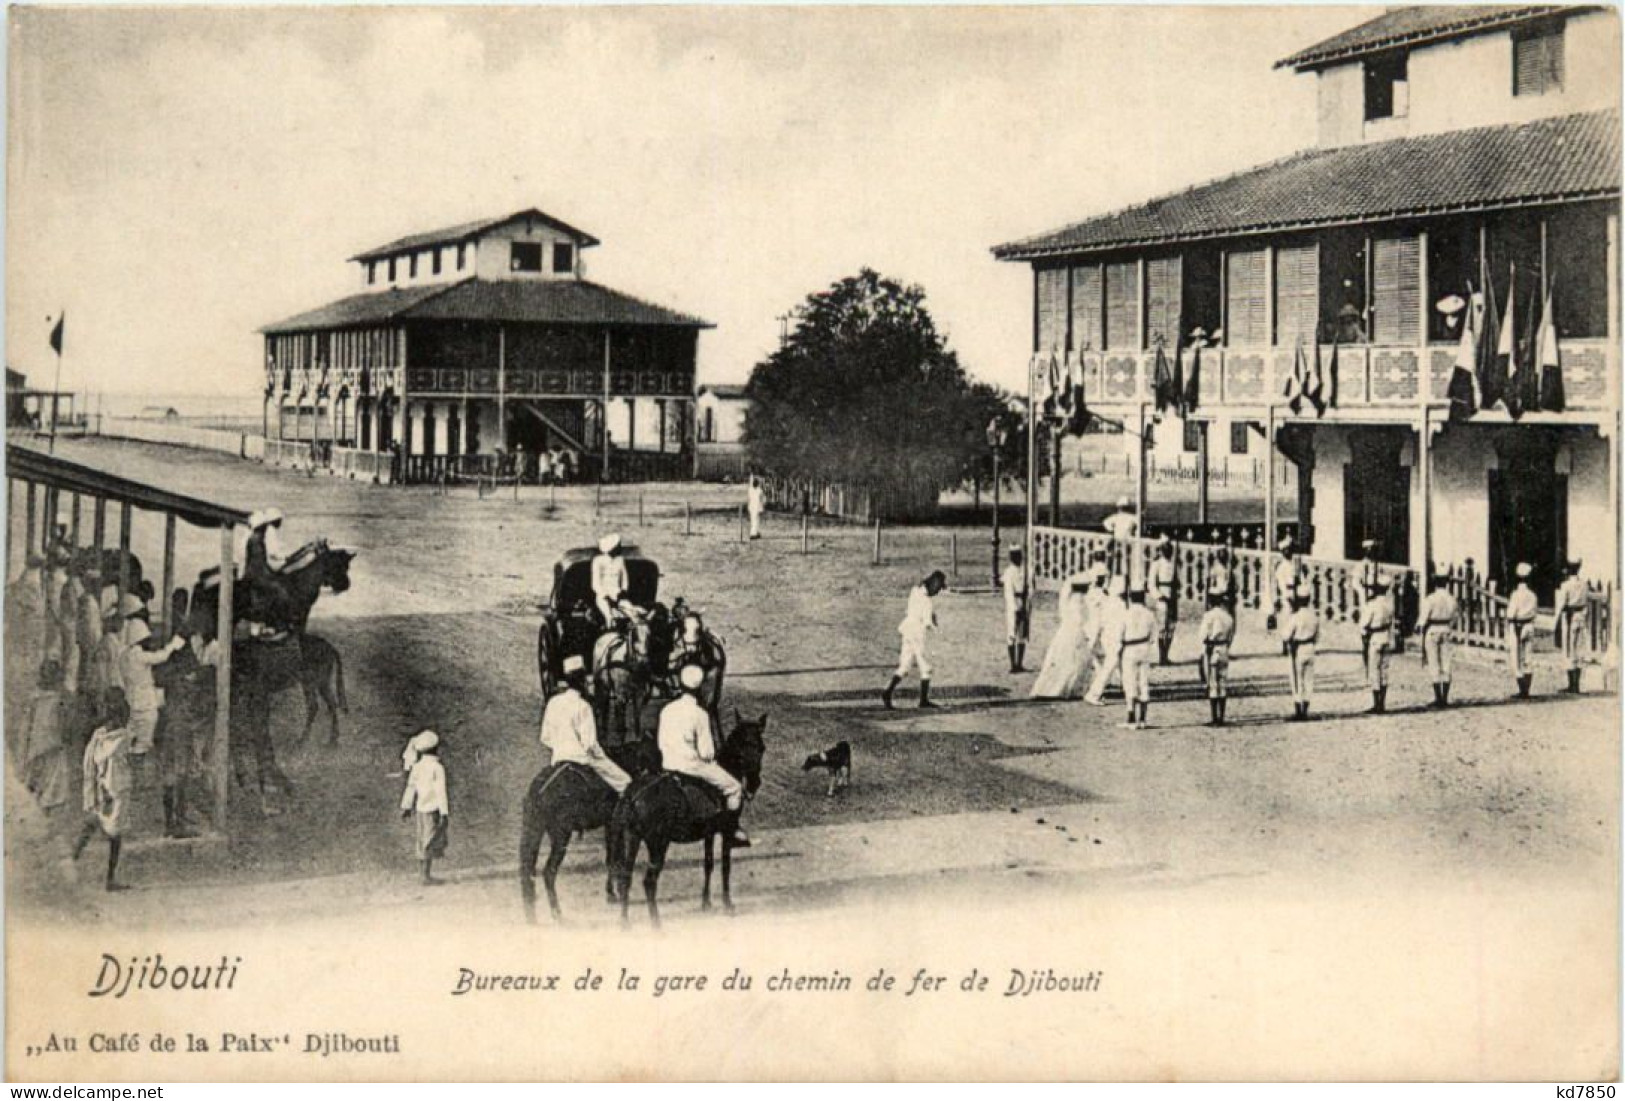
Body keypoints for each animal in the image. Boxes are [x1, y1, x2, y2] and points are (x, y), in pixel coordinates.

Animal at [526, 737, 666, 928]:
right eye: (656, 754)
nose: (662, 775)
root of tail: (541, 788)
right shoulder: (615, 825)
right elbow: (616, 858)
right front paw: (616, 893)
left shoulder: (609, 824)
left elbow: (612, 857)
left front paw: (612, 892)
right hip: (561, 836)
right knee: (549, 872)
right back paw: (557, 914)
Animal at [607, 711, 770, 928]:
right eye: (746, 748)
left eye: (761, 748)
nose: (754, 783)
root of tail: (633, 795)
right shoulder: (726, 831)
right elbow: (725, 867)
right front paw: (727, 904)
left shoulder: (709, 832)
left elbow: (708, 864)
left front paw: (706, 902)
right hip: (658, 843)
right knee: (649, 881)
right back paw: (656, 923)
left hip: (632, 838)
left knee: (626, 876)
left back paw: (624, 921)